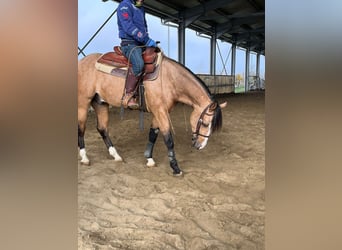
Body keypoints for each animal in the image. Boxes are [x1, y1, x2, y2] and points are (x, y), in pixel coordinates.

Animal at [78, 46, 227, 176]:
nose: (200, 146)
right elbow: (168, 138)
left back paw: (116, 155)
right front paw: (175, 168)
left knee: (102, 128)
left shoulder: (159, 111)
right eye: (206, 124)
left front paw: (149, 159)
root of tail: (82, 62)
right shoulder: (161, 111)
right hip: (83, 103)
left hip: (101, 103)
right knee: (81, 128)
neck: (169, 79)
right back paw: (84, 158)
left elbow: (153, 134)